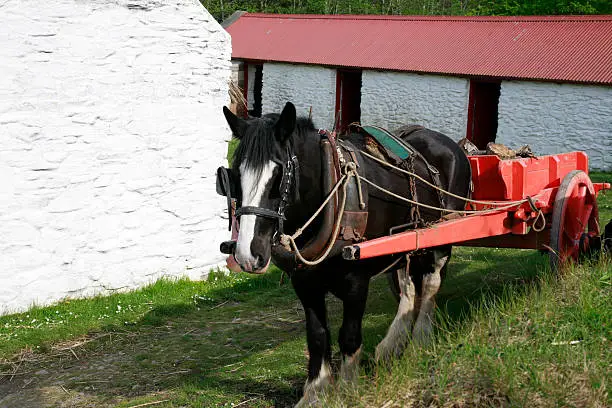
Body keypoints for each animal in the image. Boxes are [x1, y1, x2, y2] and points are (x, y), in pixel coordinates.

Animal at [218, 102, 470, 404]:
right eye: (234, 175)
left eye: (278, 175)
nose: (247, 254)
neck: (332, 193)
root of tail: (446, 142)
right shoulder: (305, 283)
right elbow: (317, 336)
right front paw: (315, 392)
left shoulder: (356, 282)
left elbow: (349, 336)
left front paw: (348, 389)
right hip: (405, 240)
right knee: (408, 285)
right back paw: (393, 343)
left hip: (442, 237)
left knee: (431, 283)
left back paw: (420, 340)